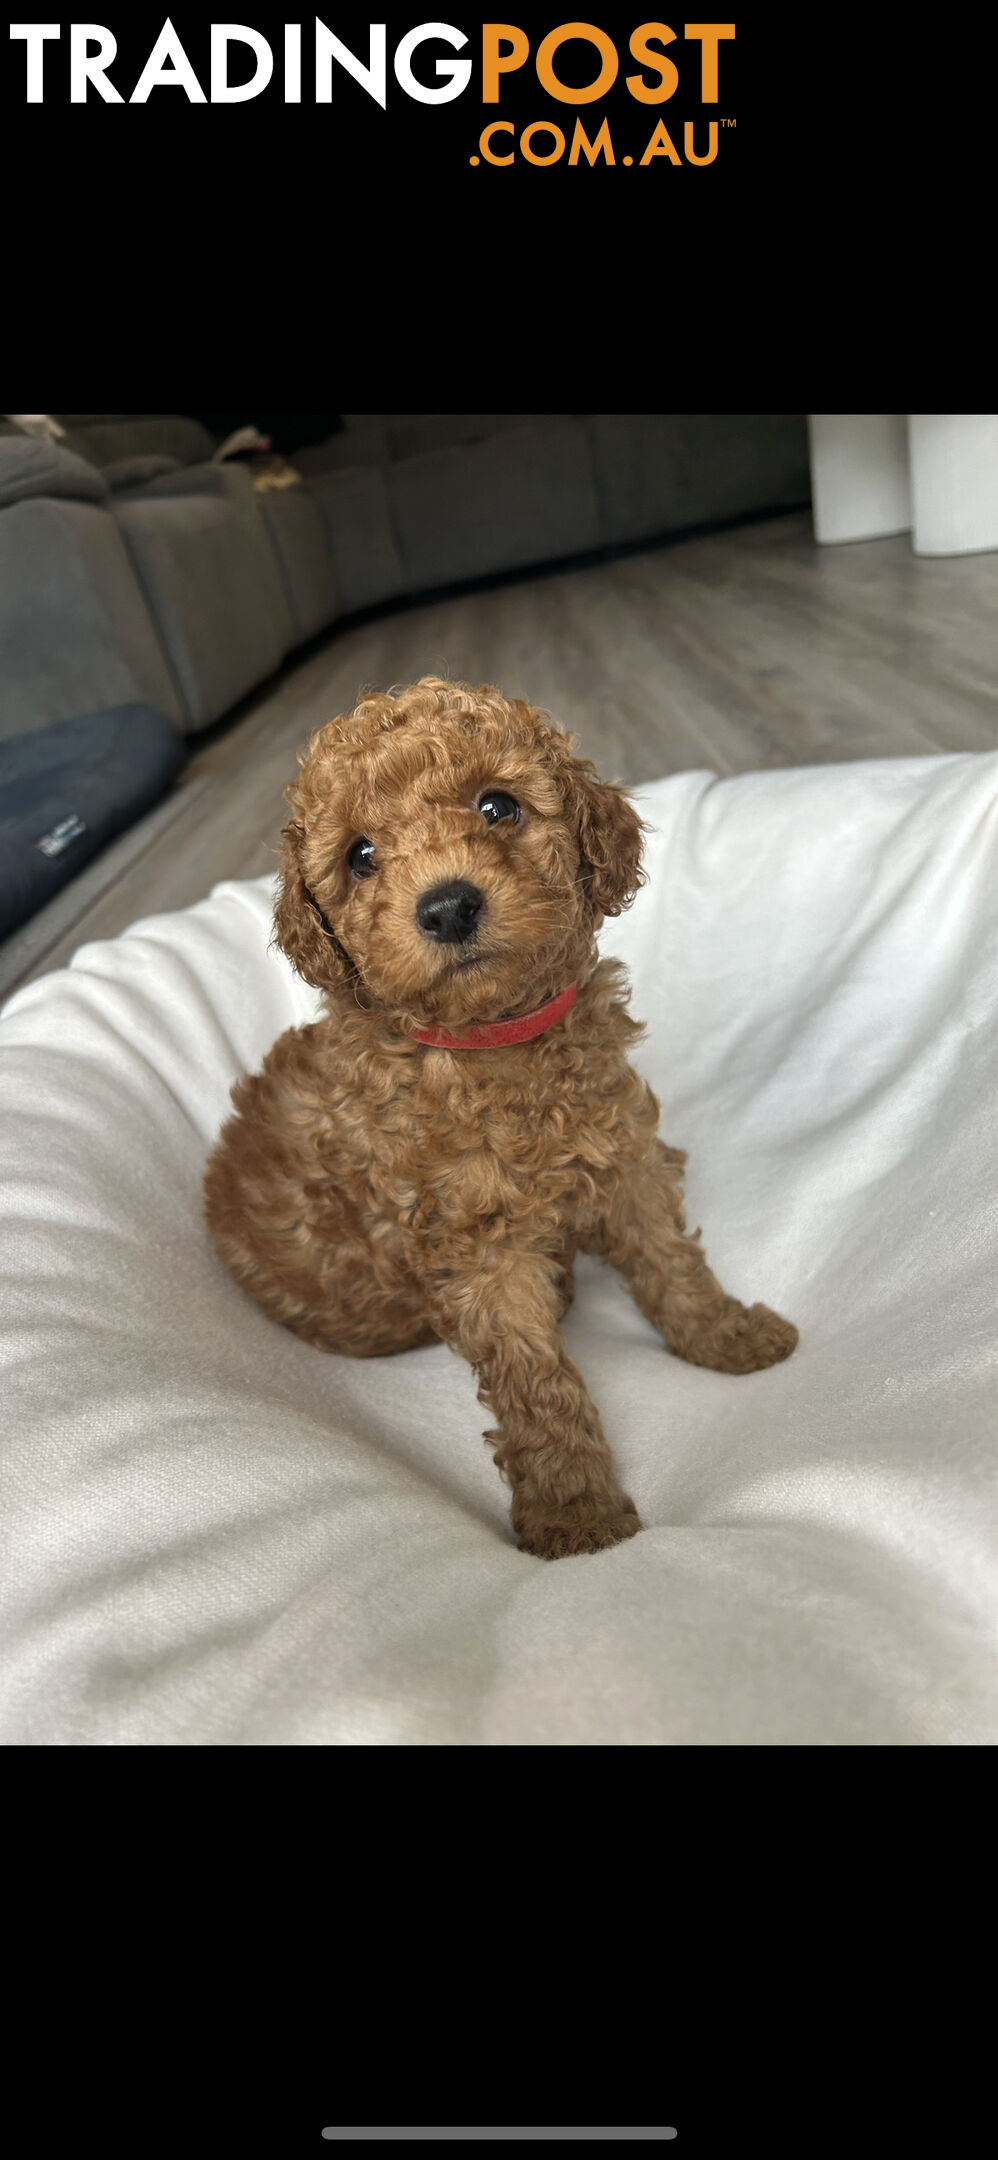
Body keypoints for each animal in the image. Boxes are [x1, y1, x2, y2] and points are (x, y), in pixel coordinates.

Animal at [203, 673, 794, 1555]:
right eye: (361, 856)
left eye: (497, 807)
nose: (448, 907)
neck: (495, 1044)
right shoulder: (476, 1249)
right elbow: (536, 1383)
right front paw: (578, 1517)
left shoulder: (623, 1157)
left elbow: (672, 1262)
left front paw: (728, 1336)